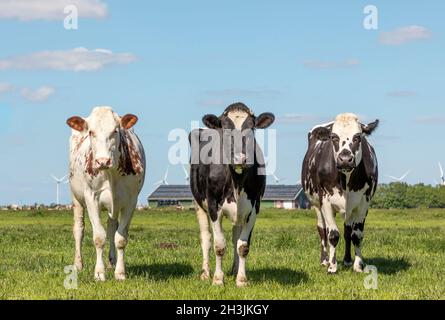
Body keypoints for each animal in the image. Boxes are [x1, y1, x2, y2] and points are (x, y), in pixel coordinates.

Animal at [67, 107, 145, 280]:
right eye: (91, 132)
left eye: (115, 130)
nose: (102, 161)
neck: (111, 174)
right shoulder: (91, 198)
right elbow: (98, 237)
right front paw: (99, 273)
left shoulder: (131, 201)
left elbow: (120, 238)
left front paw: (120, 273)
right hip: (76, 198)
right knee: (78, 230)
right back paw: (78, 265)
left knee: (111, 227)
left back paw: (112, 262)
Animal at [188, 102, 272, 288]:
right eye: (225, 128)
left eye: (252, 128)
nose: (239, 158)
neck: (237, 181)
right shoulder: (213, 206)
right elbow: (219, 245)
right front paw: (218, 279)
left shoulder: (254, 208)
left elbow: (243, 246)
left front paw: (241, 279)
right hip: (199, 204)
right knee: (206, 238)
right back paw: (205, 273)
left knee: (235, 237)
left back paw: (234, 270)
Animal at [300, 112, 376, 272]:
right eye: (334, 137)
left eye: (358, 137)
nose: (345, 159)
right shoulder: (325, 201)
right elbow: (333, 235)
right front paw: (332, 266)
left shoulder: (364, 203)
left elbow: (356, 235)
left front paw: (358, 265)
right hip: (316, 205)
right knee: (322, 230)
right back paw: (324, 260)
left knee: (347, 232)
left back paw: (347, 260)